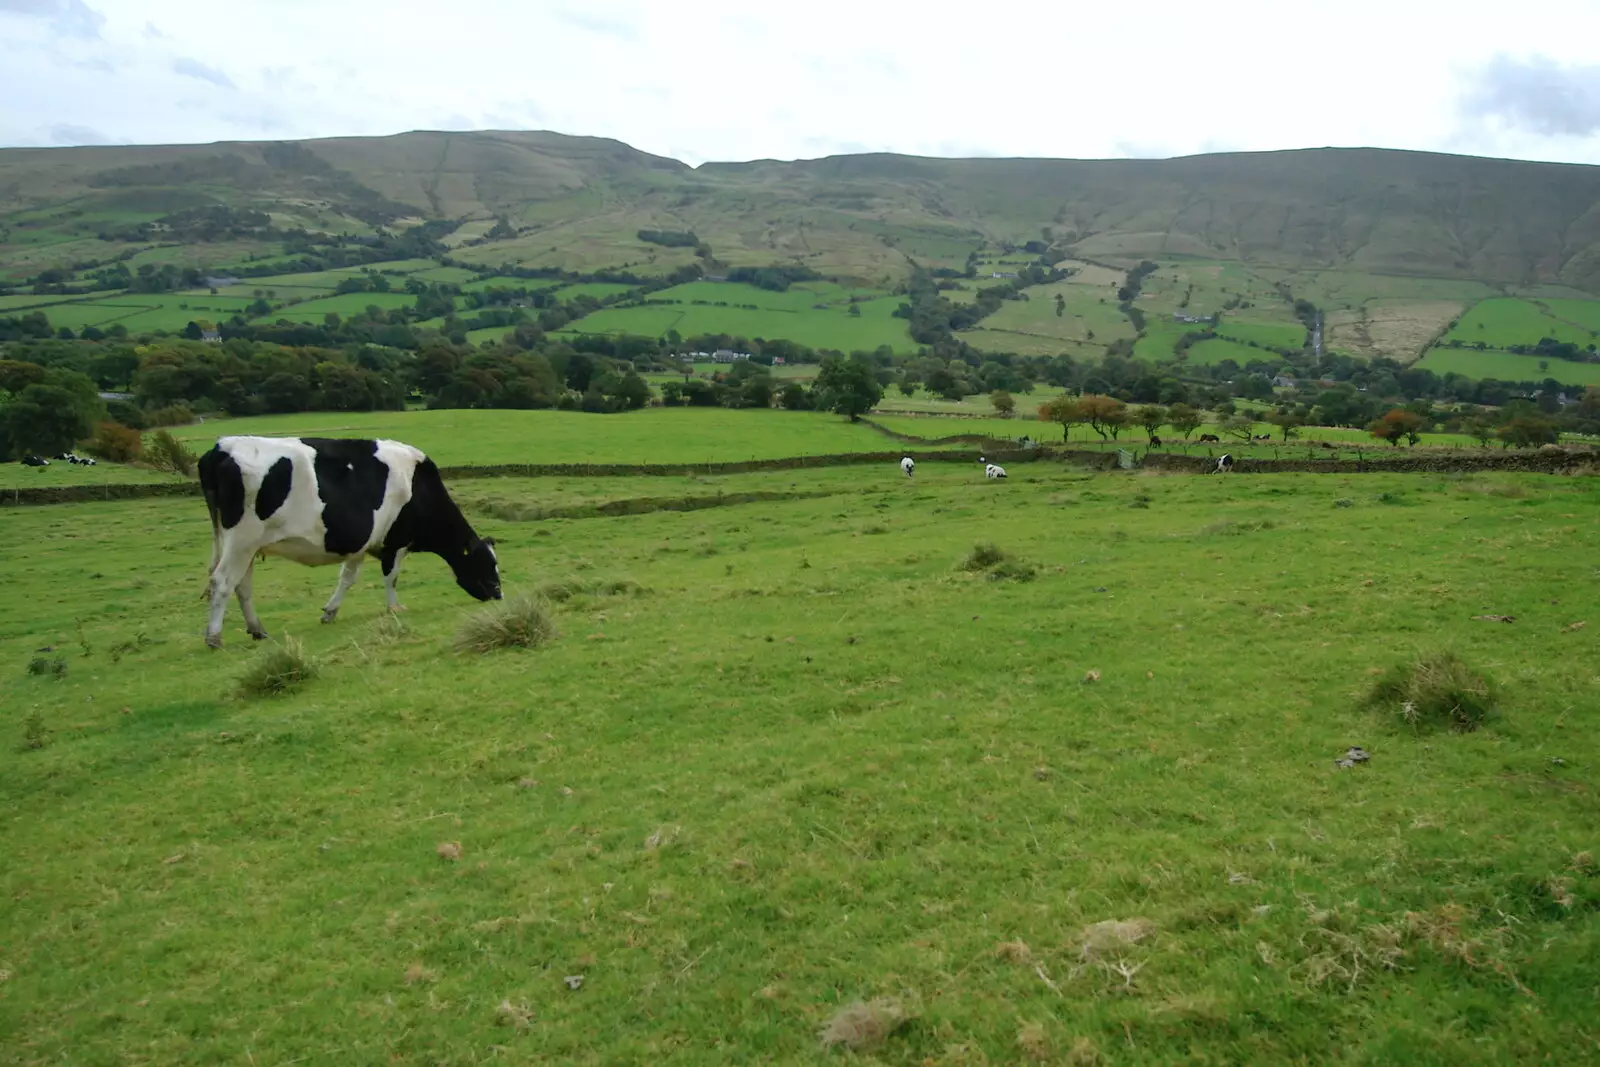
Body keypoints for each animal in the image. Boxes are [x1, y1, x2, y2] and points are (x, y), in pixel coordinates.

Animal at [197, 435, 502, 652]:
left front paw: (330, 612)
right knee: (222, 581)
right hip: (243, 539)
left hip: (244, 545)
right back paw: (214, 637)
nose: (498, 595)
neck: (420, 487)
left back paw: (257, 629)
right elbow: (391, 576)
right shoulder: (396, 542)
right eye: (486, 564)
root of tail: (221, 447)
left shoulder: (361, 544)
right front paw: (394, 608)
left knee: (241, 585)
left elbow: (348, 578)